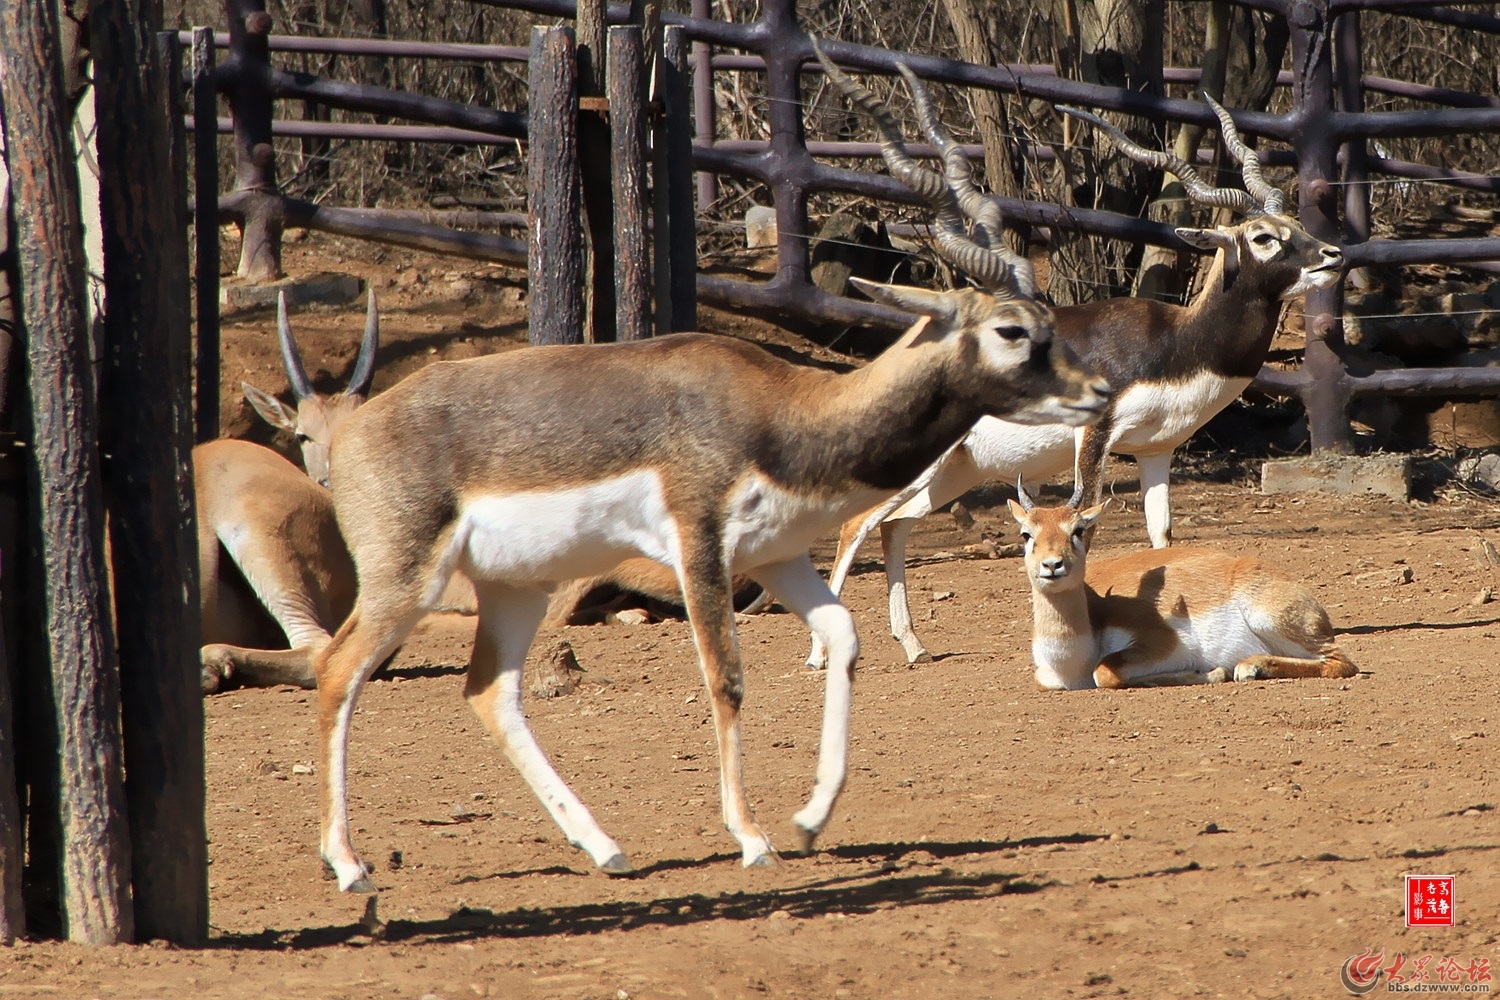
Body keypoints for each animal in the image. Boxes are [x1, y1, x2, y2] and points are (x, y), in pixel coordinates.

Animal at [810, 48, 1350, 671]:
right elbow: (1086, 512)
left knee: (894, 528)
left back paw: (915, 645)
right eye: (1263, 237)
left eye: (1295, 227)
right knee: (855, 525)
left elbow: (1162, 534)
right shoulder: (1096, 434)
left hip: (956, 469)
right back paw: (821, 656)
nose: (1333, 255)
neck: (1175, 344)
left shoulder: (1157, 450)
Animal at [1008, 482, 1362, 689]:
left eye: (1078, 530)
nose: (1052, 565)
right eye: (1026, 534)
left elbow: (1105, 672)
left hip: (1269, 617)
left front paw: (1210, 673)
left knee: (1341, 662)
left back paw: (1249, 667)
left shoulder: (1161, 643)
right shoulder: (1046, 677)